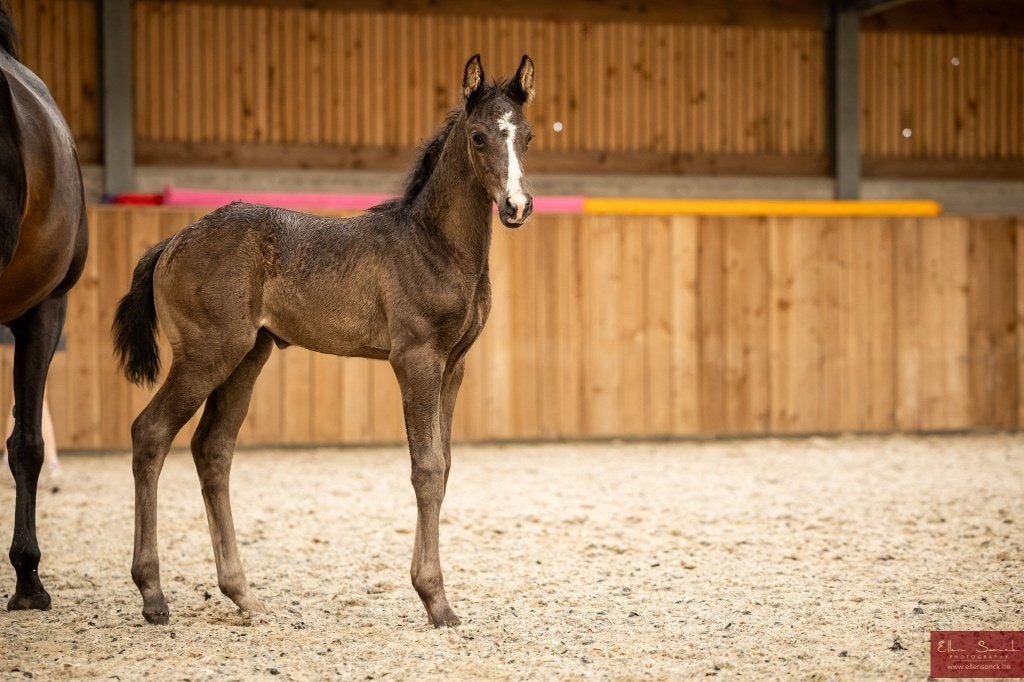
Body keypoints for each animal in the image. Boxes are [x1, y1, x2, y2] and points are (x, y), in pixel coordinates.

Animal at [113, 54, 535, 627]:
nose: (517, 206)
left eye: (527, 136)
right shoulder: (416, 360)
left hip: (247, 357)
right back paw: (153, 593)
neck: (433, 245)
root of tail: (173, 241)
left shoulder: (455, 365)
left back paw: (243, 594)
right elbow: (426, 469)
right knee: (151, 434)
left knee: (213, 450)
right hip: (206, 356)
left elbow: (444, 466)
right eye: (478, 136)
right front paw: (435, 600)